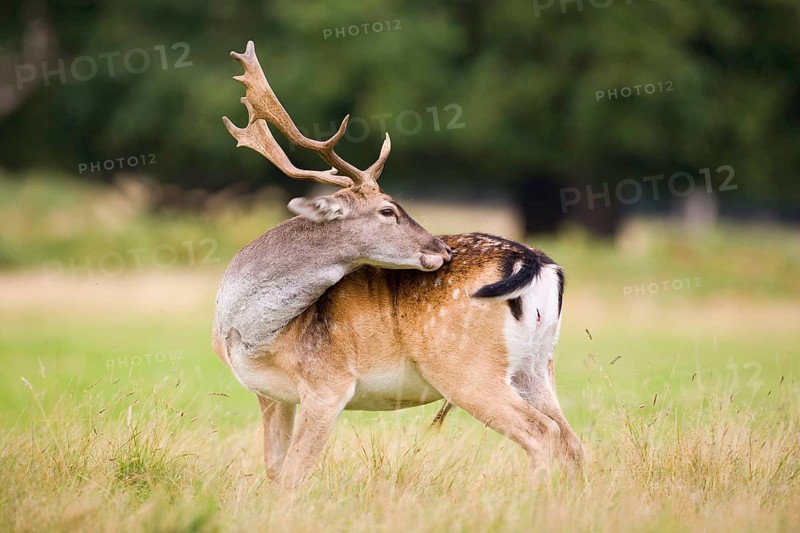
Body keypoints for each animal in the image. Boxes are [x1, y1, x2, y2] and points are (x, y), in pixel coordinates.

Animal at [212, 41, 584, 487]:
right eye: (388, 211)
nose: (441, 250)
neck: (252, 333)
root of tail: (536, 261)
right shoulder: (269, 394)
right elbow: (274, 468)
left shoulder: (329, 382)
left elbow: (294, 474)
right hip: (537, 365)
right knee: (572, 441)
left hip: (466, 366)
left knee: (542, 433)